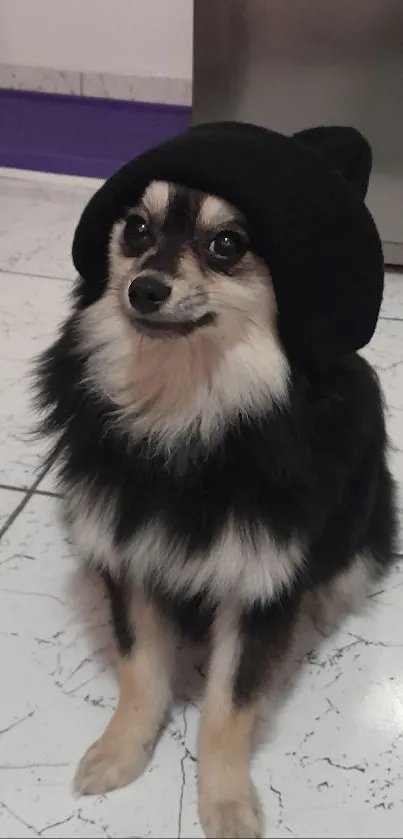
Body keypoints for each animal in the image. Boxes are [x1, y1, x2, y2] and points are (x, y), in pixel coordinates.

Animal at [35, 121, 398, 836]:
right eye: (136, 231)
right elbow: (141, 672)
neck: (190, 412)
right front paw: (119, 753)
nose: (144, 288)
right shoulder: (131, 552)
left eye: (226, 244)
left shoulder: (261, 585)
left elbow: (230, 708)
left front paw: (225, 802)